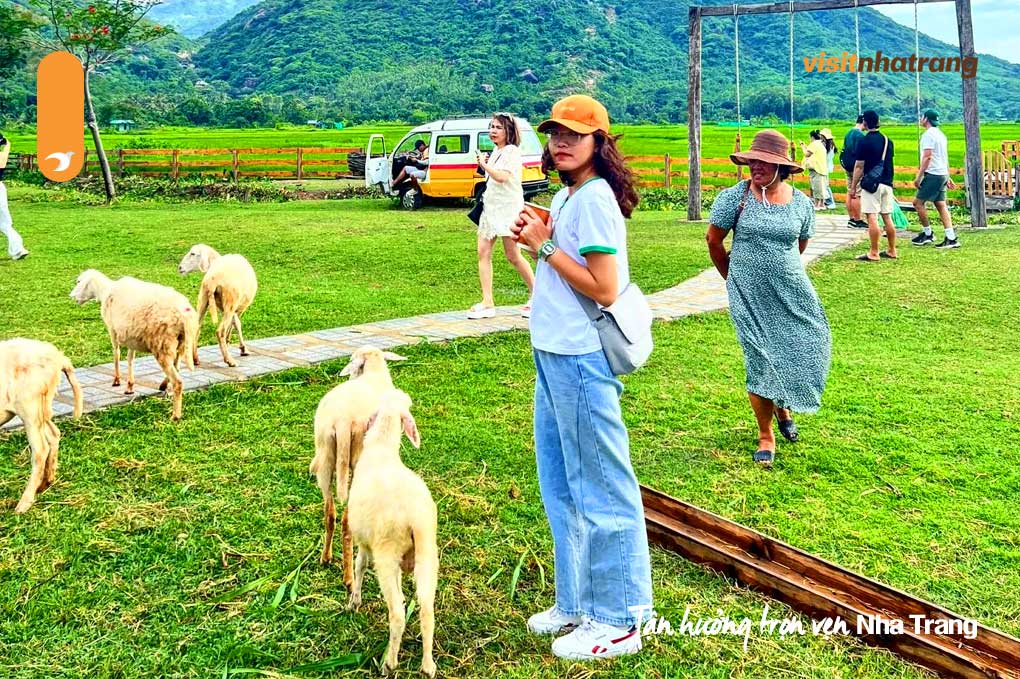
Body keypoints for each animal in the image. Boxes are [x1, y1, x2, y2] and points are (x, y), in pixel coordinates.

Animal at [0, 338, 82, 513]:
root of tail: (58, 356)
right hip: (42, 407)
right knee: (54, 433)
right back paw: (45, 483)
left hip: (30, 406)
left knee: (41, 449)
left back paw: (24, 504)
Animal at [70, 269, 198, 418]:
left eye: (79, 281)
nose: (71, 296)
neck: (105, 290)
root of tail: (185, 314)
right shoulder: (131, 336)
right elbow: (130, 358)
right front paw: (130, 385)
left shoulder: (112, 330)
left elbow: (116, 353)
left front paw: (117, 380)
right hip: (180, 344)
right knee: (176, 368)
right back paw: (163, 385)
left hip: (162, 344)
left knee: (177, 381)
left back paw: (175, 416)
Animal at [310, 346, 405, 583]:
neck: (374, 373)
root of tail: (342, 422)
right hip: (356, 462)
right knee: (346, 522)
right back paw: (349, 578)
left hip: (325, 459)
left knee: (329, 512)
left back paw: (325, 558)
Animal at [348, 385, 436, 676]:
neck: (381, 448)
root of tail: (413, 518)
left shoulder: (364, 541)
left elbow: (359, 565)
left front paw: (354, 601)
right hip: (427, 553)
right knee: (427, 609)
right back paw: (428, 665)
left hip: (387, 555)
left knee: (397, 613)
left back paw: (389, 663)